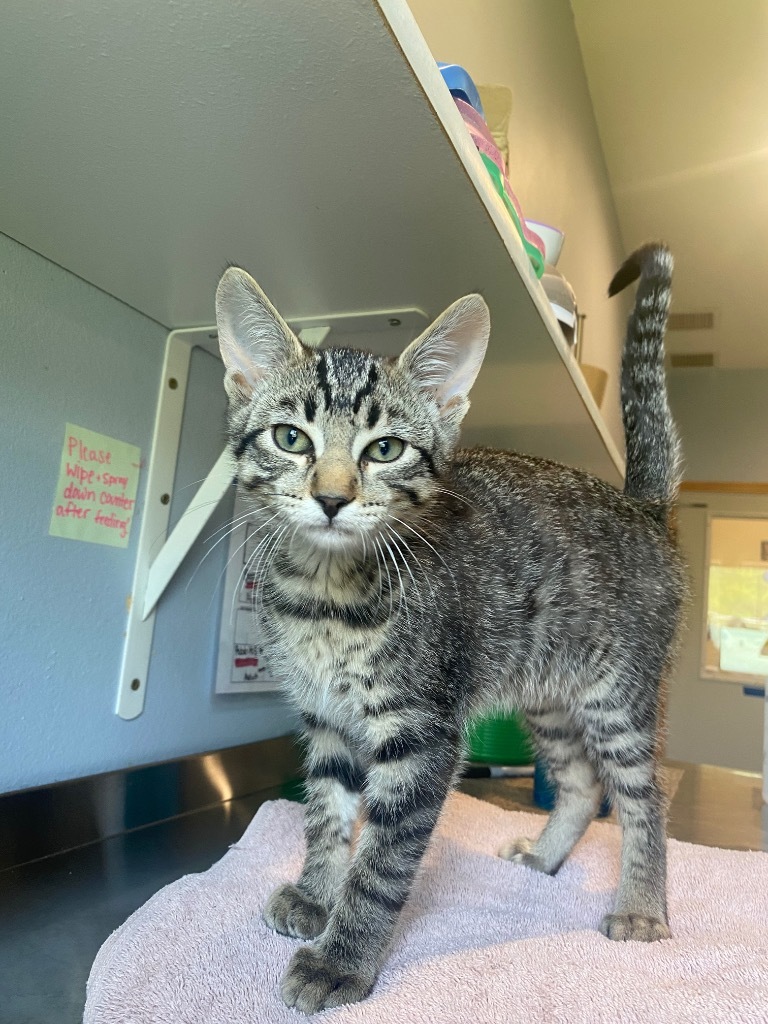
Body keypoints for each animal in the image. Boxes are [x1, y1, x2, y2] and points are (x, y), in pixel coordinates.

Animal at [215, 241, 684, 1015]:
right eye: (290, 438)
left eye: (385, 450)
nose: (332, 497)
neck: (326, 594)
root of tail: (641, 506)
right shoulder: (327, 720)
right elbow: (328, 814)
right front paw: (316, 894)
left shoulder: (424, 736)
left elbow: (381, 862)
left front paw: (341, 961)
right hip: (547, 694)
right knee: (582, 782)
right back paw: (547, 855)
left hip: (619, 693)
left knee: (643, 797)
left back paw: (643, 905)